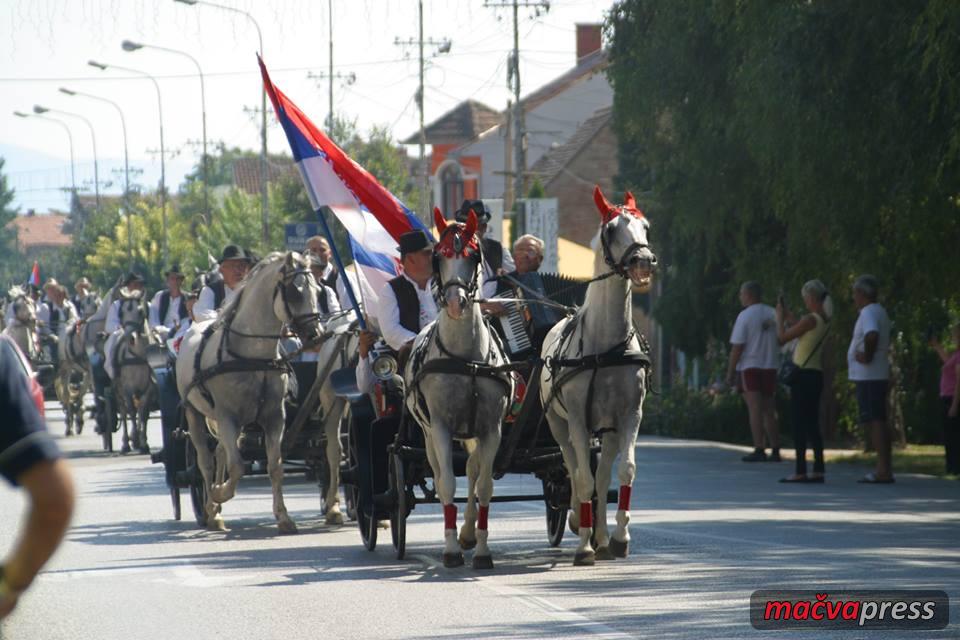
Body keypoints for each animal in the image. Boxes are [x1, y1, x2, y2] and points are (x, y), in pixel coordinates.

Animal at [180, 252, 326, 532]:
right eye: (294, 292)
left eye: (318, 289)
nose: (316, 335)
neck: (251, 357)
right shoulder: (228, 417)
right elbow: (237, 466)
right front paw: (219, 493)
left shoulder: (274, 418)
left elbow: (275, 465)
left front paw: (283, 517)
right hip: (194, 413)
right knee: (205, 460)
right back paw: (211, 509)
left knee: (220, 452)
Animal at [404, 211, 512, 568]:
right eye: (439, 257)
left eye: (473, 255)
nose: (454, 302)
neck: (467, 360)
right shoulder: (440, 427)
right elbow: (448, 484)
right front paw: (451, 550)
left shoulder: (491, 429)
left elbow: (484, 486)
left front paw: (481, 549)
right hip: (427, 434)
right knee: (441, 476)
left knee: (474, 470)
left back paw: (467, 532)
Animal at [540, 185, 660, 564]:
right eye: (611, 230)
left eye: (645, 226)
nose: (643, 261)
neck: (605, 348)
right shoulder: (578, 420)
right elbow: (582, 480)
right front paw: (584, 545)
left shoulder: (630, 416)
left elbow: (623, 472)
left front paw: (619, 537)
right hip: (559, 425)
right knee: (574, 468)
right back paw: (583, 523)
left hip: (607, 429)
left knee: (603, 471)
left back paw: (604, 536)